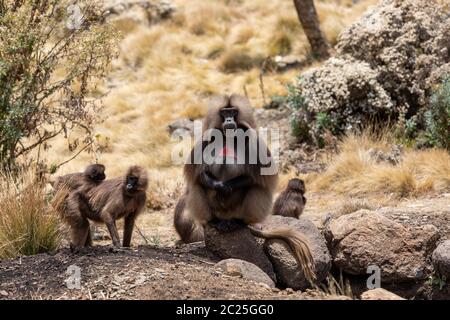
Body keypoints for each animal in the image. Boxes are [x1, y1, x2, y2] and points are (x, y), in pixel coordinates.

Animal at [175, 94, 316, 282]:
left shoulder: (251, 138)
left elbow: (256, 176)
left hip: (238, 210)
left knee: (257, 188)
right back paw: (213, 222)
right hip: (216, 210)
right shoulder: (208, 137)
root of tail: (226, 217)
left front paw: (226, 186)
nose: (229, 120)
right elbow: (200, 173)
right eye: (224, 112)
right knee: (196, 186)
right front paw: (219, 186)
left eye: (233, 112)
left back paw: (238, 222)